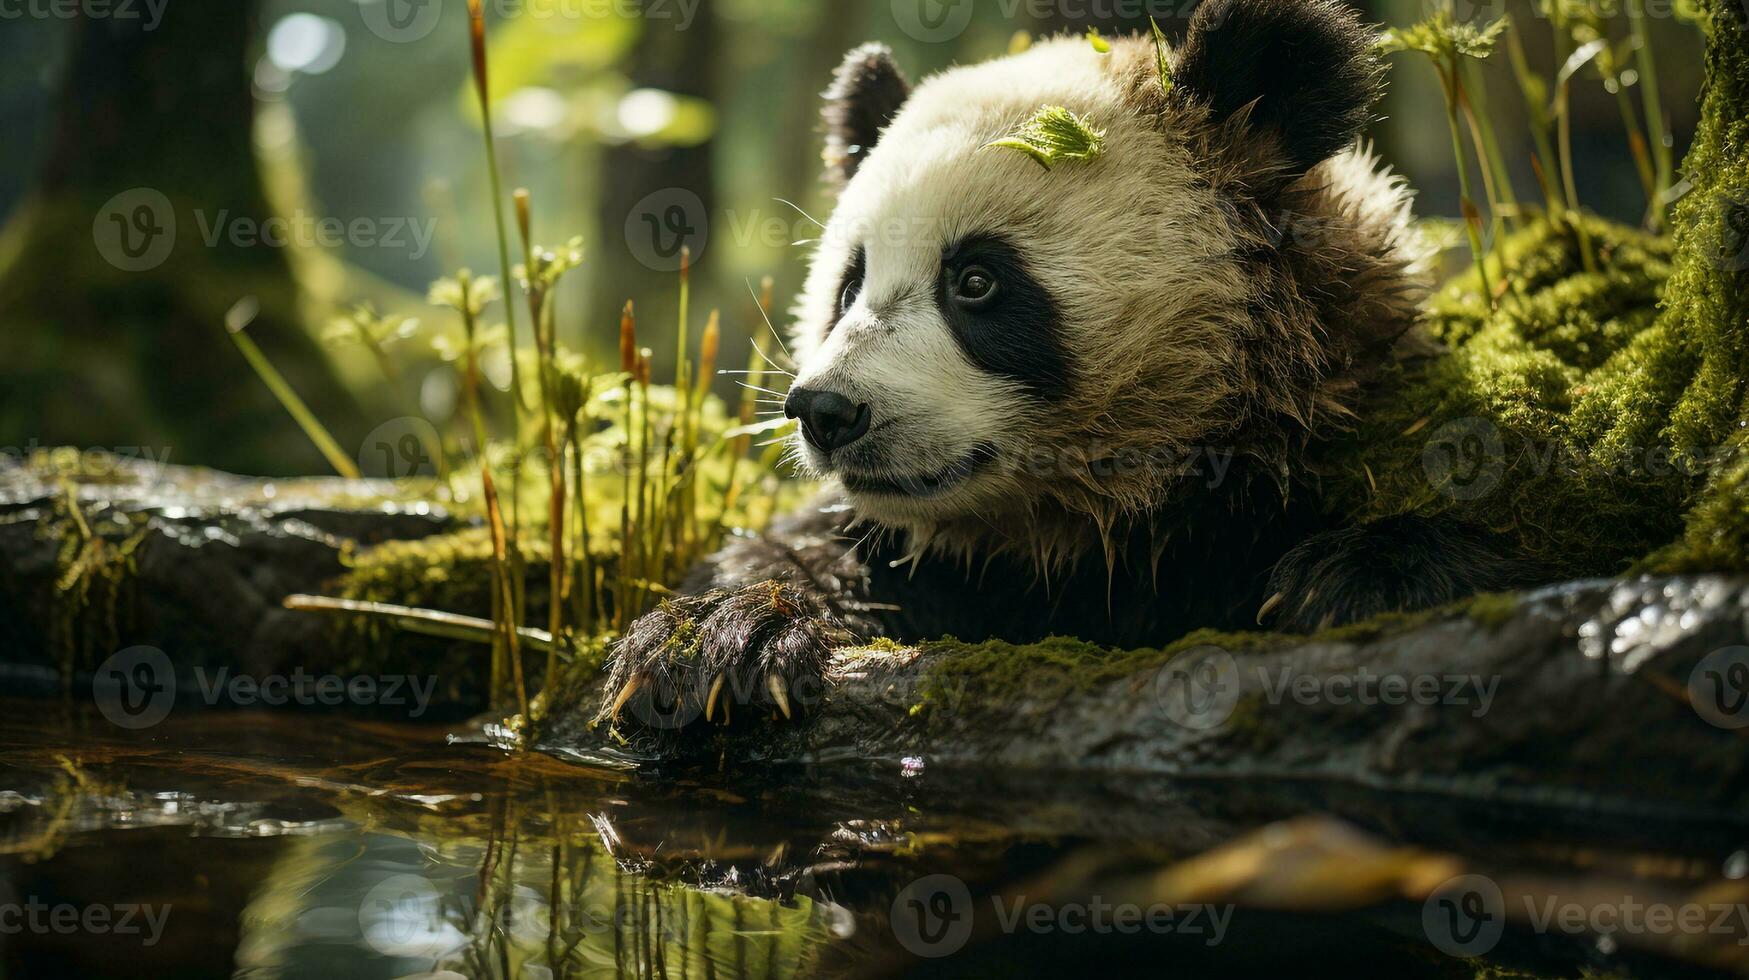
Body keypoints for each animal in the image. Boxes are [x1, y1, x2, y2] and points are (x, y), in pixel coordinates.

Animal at [598, 0, 1546, 728]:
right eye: (848, 283)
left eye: (976, 281)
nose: (827, 413)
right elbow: (793, 554)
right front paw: (713, 644)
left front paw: (1357, 581)